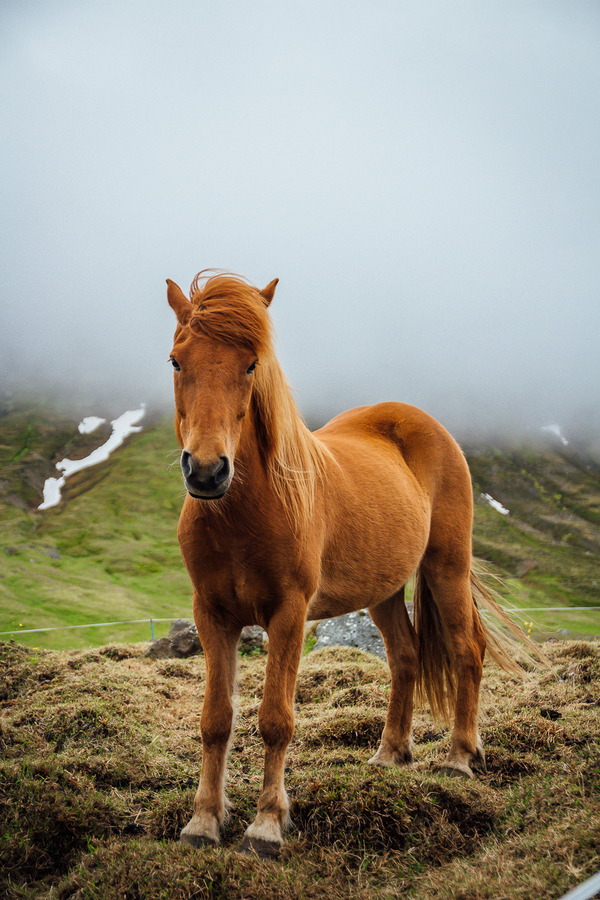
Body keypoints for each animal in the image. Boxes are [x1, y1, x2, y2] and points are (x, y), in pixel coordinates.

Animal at [166, 270, 528, 859]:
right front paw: (203, 821)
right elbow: (216, 720)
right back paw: (390, 754)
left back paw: (458, 758)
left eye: (252, 364)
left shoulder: (288, 615)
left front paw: (266, 826)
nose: (206, 471)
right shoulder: (212, 615)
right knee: (405, 656)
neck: (245, 513)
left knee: (465, 649)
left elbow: (276, 720)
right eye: (177, 361)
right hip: (383, 591)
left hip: (446, 567)